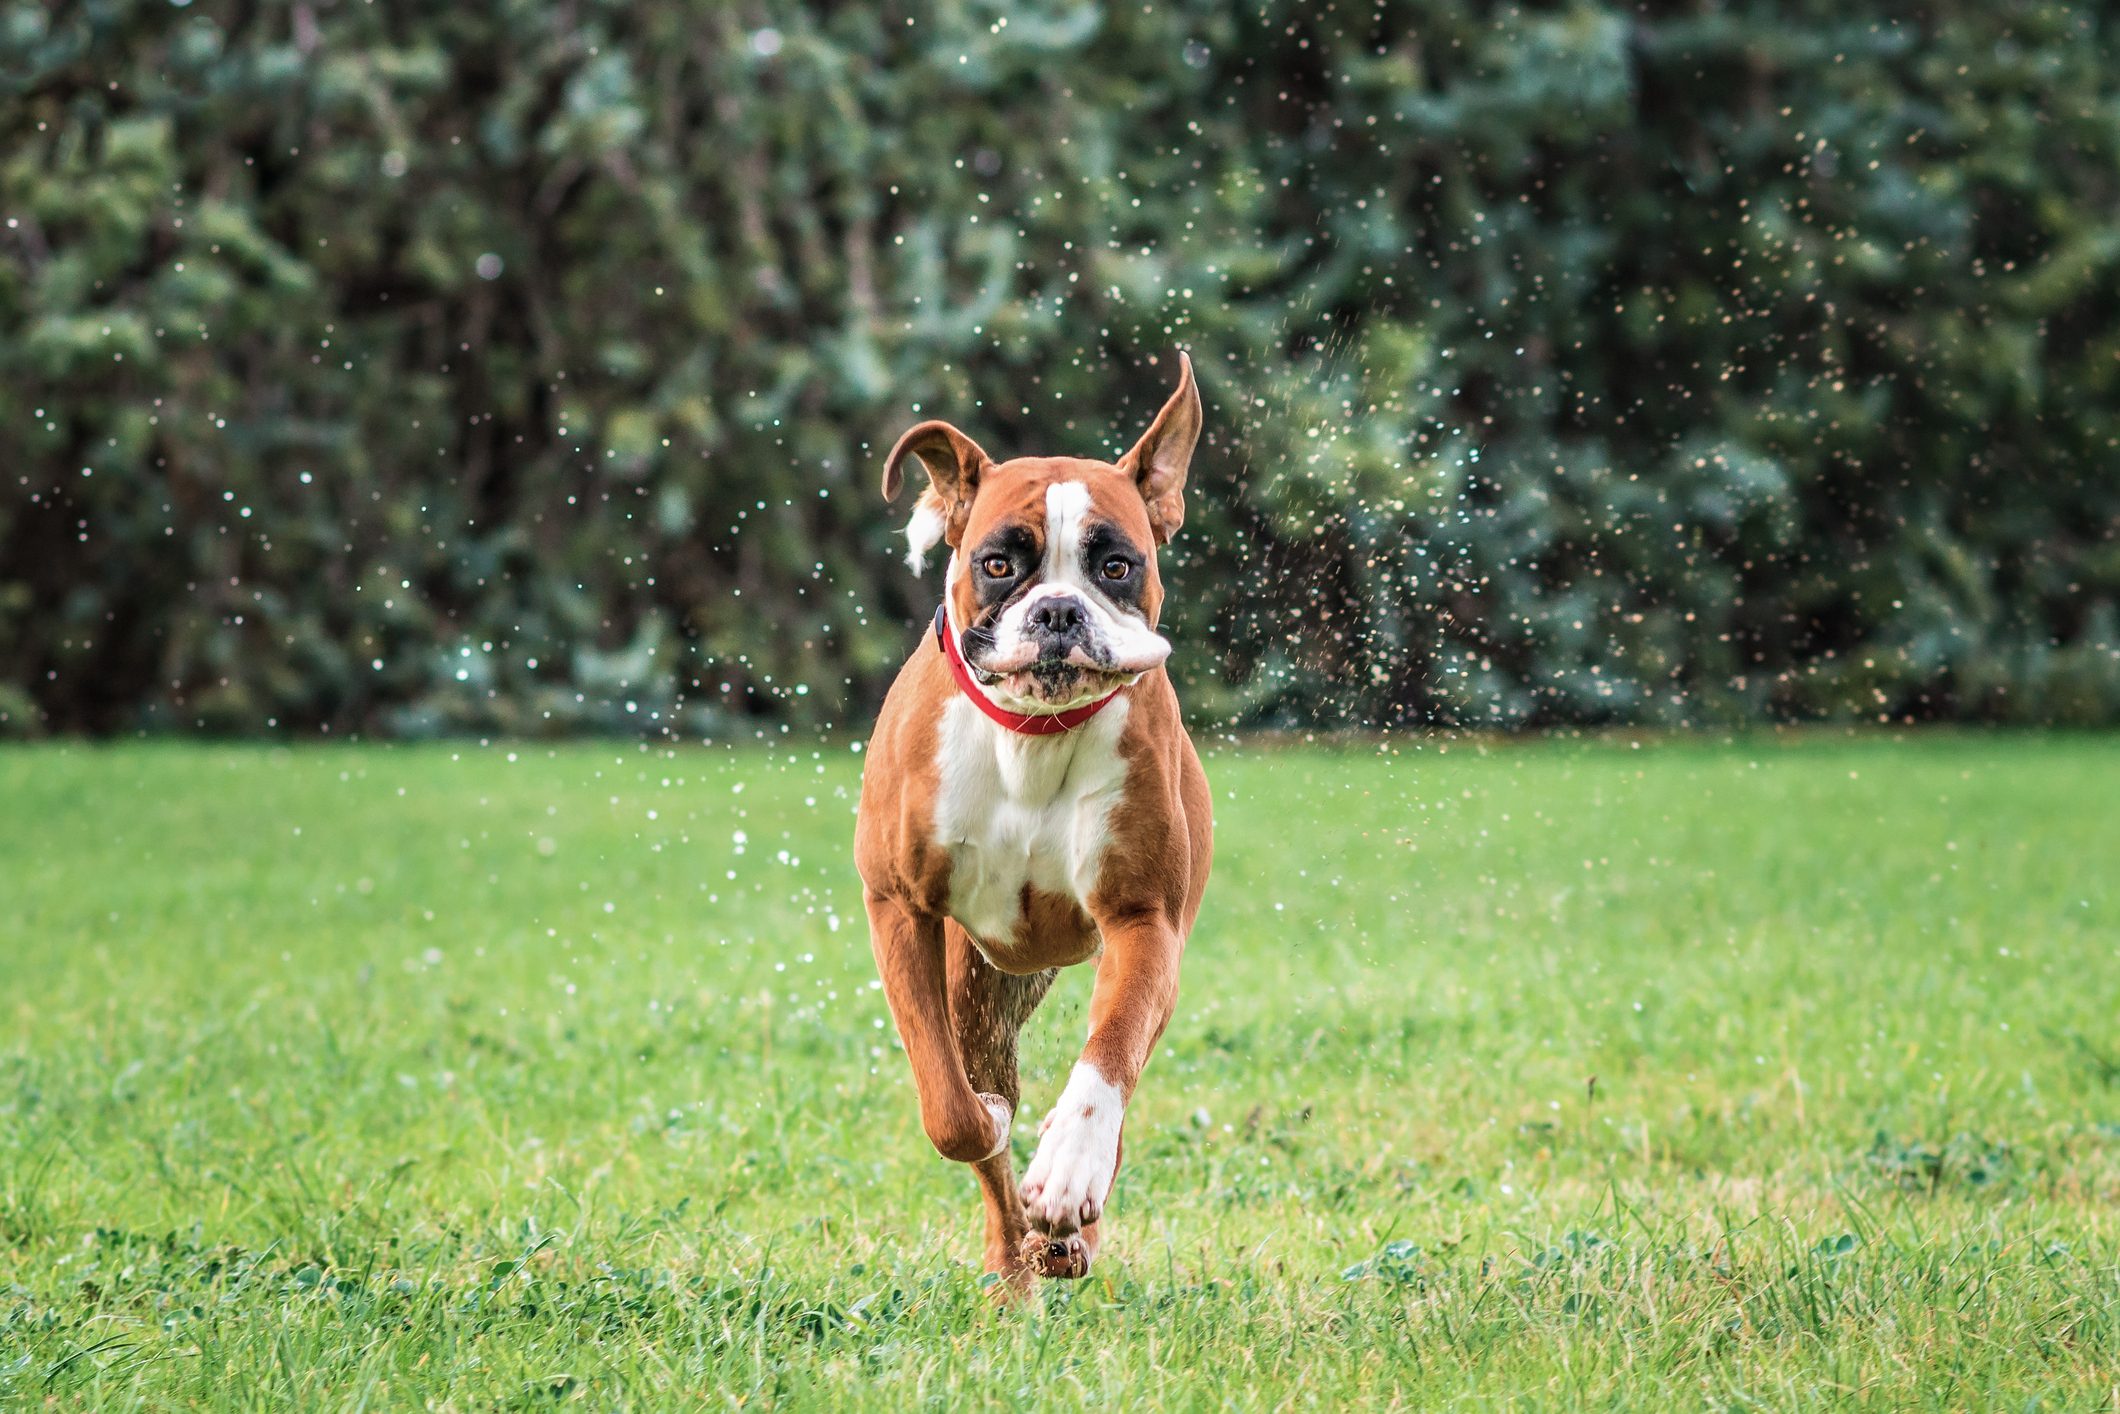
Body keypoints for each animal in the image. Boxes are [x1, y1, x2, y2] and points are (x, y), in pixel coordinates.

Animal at [847, 356, 1212, 1297]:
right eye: (998, 562)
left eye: (1116, 565)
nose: (1057, 612)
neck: (1032, 735)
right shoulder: (899, 910)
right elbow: (952, 1112)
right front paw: (993, 1125)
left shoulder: (1143, 923)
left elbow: (1107, 1059)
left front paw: (1069, 1170)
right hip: (975, 987)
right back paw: (1015, 1252)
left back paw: (1067, 1226)